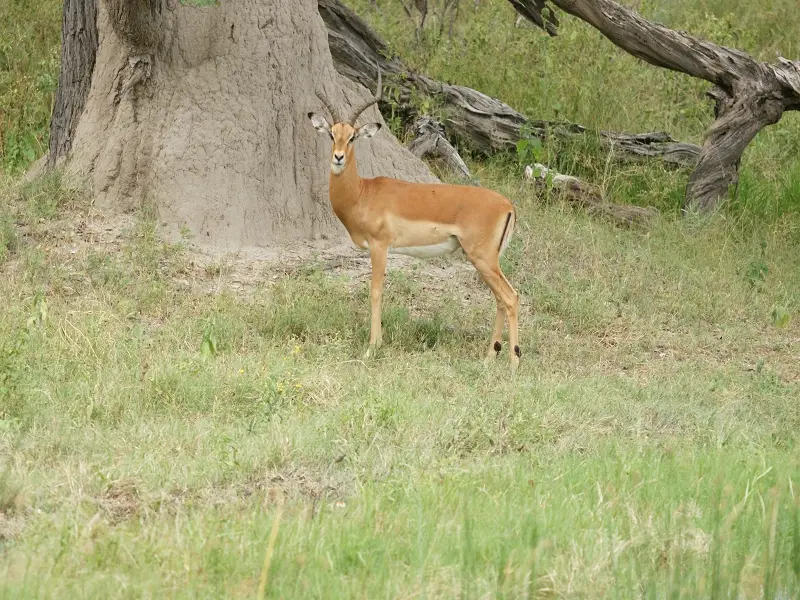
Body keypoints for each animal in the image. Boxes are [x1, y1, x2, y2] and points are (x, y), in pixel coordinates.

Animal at [308, 71, 521, 371]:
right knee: (501, 300)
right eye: (331, 134)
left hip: (483, 259)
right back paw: (489, 357)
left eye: (352, 137)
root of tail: (508, 205)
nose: (337, 158)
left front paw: (372, 347)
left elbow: (375, 291)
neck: (363, 193)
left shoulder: (379, 247)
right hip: (487, 261)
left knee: (511, 297)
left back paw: (513, 362)